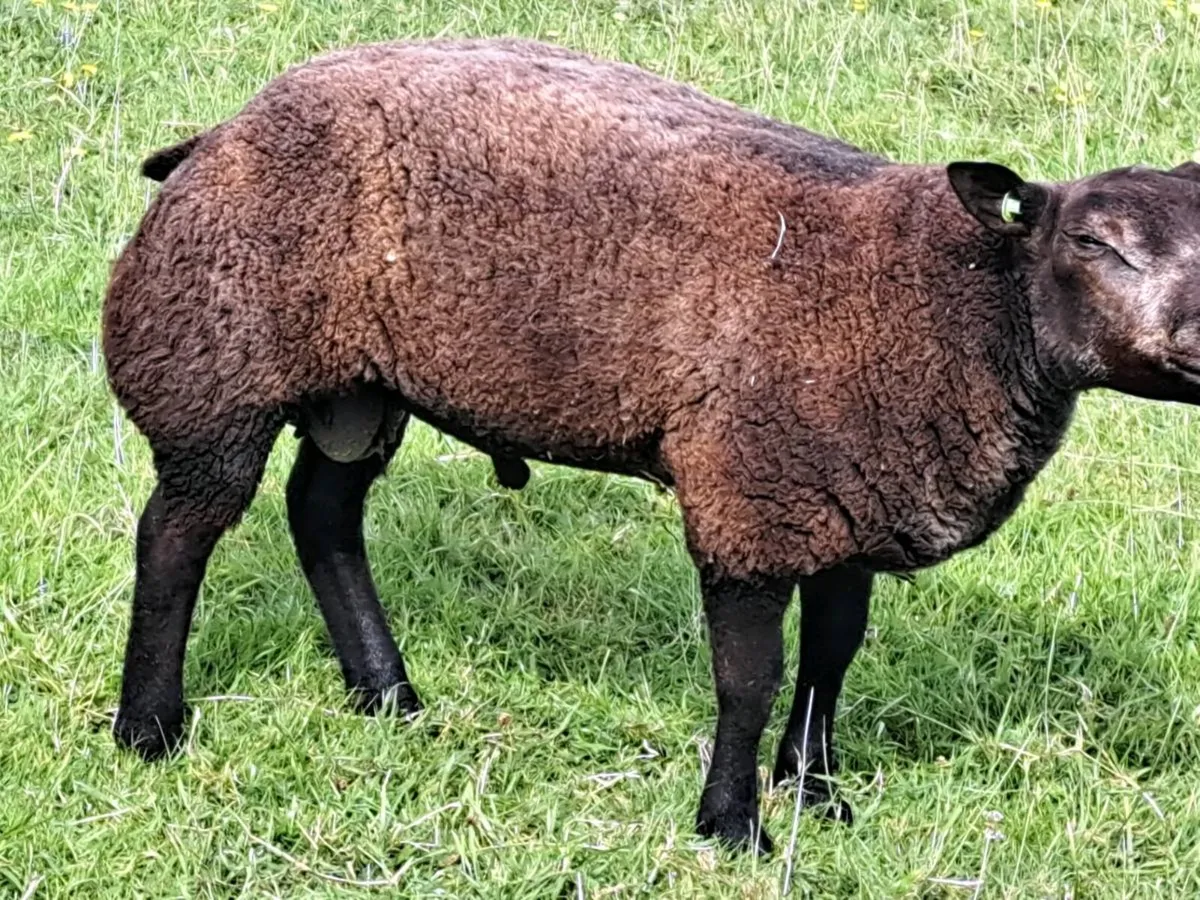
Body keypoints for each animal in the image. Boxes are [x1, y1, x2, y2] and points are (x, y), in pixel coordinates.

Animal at [102, 36, 1200, 853]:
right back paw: (150, 727)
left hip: (359, 382)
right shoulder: (750, 494)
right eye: (1091, 245)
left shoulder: (847, 487)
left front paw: (818, 795)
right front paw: (734, 827)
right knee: (178, 535)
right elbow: (750, 677)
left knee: (324, 515)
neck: (952, 298)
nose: (1195, 339)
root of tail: (223, 128)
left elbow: (834, 656)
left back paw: (390, 696)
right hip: (216, 358)